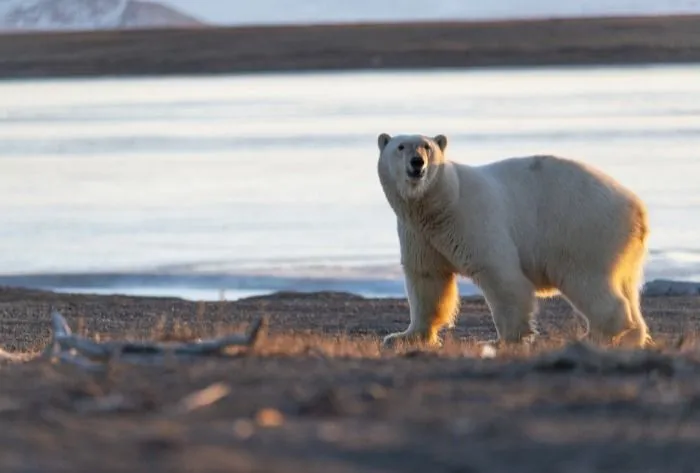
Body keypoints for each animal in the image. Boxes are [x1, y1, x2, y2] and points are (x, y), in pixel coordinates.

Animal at [378, 132, 652, 346]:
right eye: (400, 147)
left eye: (427, 147)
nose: (417, 163)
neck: (442, 203)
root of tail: (637, 208)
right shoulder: (419, 234)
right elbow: (427, 280)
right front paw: (403, 336)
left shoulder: (473, 219)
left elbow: (500, 275)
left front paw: (503, 339)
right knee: (626, 288)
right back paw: (631, 337)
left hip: (583, 230)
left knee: (587, 280)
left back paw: (596, 335)